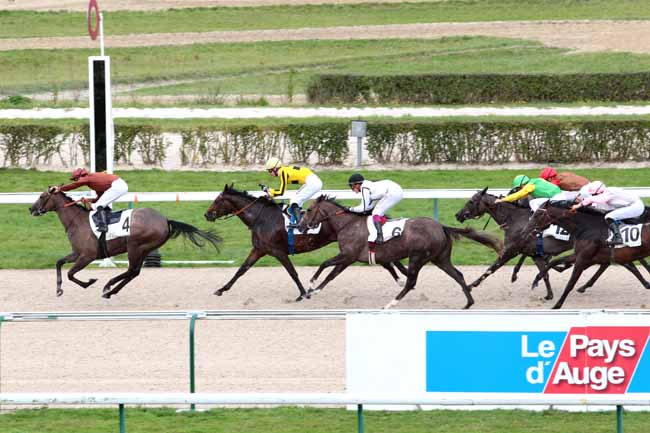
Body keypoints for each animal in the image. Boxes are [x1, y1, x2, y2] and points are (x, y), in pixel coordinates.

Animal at [29, 187, 222, 298]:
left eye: (42, 196)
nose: (31, 209)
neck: (77, 221)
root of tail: (165, 220)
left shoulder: (87, 256)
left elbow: (71, 274)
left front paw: (89, 282)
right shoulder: (77, 253)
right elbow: (59, 263)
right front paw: (59, 289)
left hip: (135, 246)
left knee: (131, 270)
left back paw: (108, 286)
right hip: (144, 249)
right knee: (134, 272)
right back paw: (111, 291)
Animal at [203, 184, 408, 302]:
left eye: (217, 200)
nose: (206, 214)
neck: (261, 218)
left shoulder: (278, 251)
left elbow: (293, 273)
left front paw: (303, 293)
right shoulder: (259, 249)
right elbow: (241, 270)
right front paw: (221, 289)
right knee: (386, 260)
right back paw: (401, 278)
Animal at [298, 195, 504, 309]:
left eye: (309, 209)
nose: (299, 225)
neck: (347, 224)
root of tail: (441, 227)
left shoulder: (348, 256)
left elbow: (326, 267)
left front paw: (312, 286)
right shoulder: (353, 258)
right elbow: (330, 272)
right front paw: (311, 290)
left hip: (417, 257)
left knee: (412, 281)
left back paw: (391, 303)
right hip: (440, 258)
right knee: (458, 275)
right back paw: (468, 303)